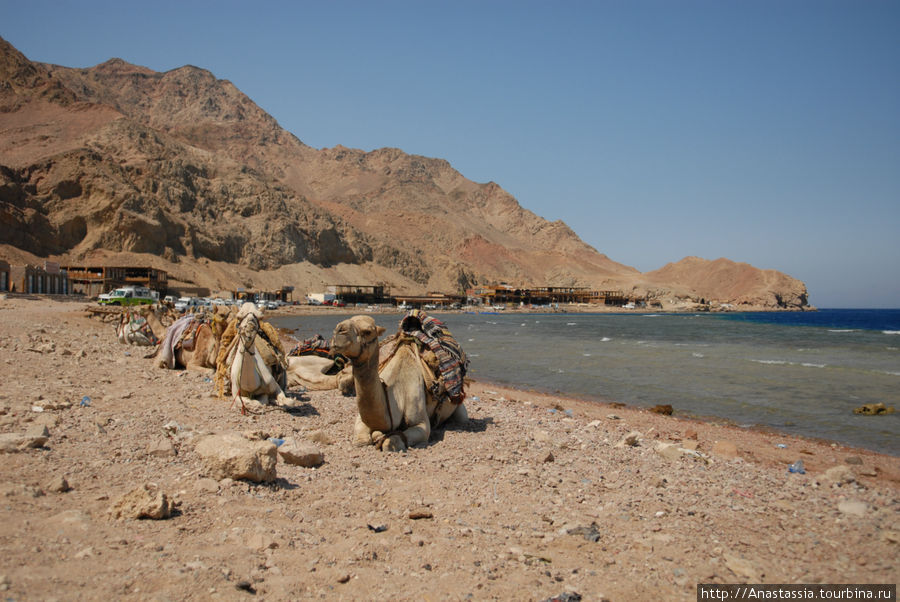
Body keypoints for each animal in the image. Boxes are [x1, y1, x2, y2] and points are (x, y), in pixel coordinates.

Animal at [332, 314, 472, 450]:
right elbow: (361, 440)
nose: (339, 329)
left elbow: (392, 442)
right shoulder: (361, 420)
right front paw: (375, 435)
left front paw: (383, 439)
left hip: (459, 409)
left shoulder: (421, 424)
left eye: (368, 332)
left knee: (462, 418)